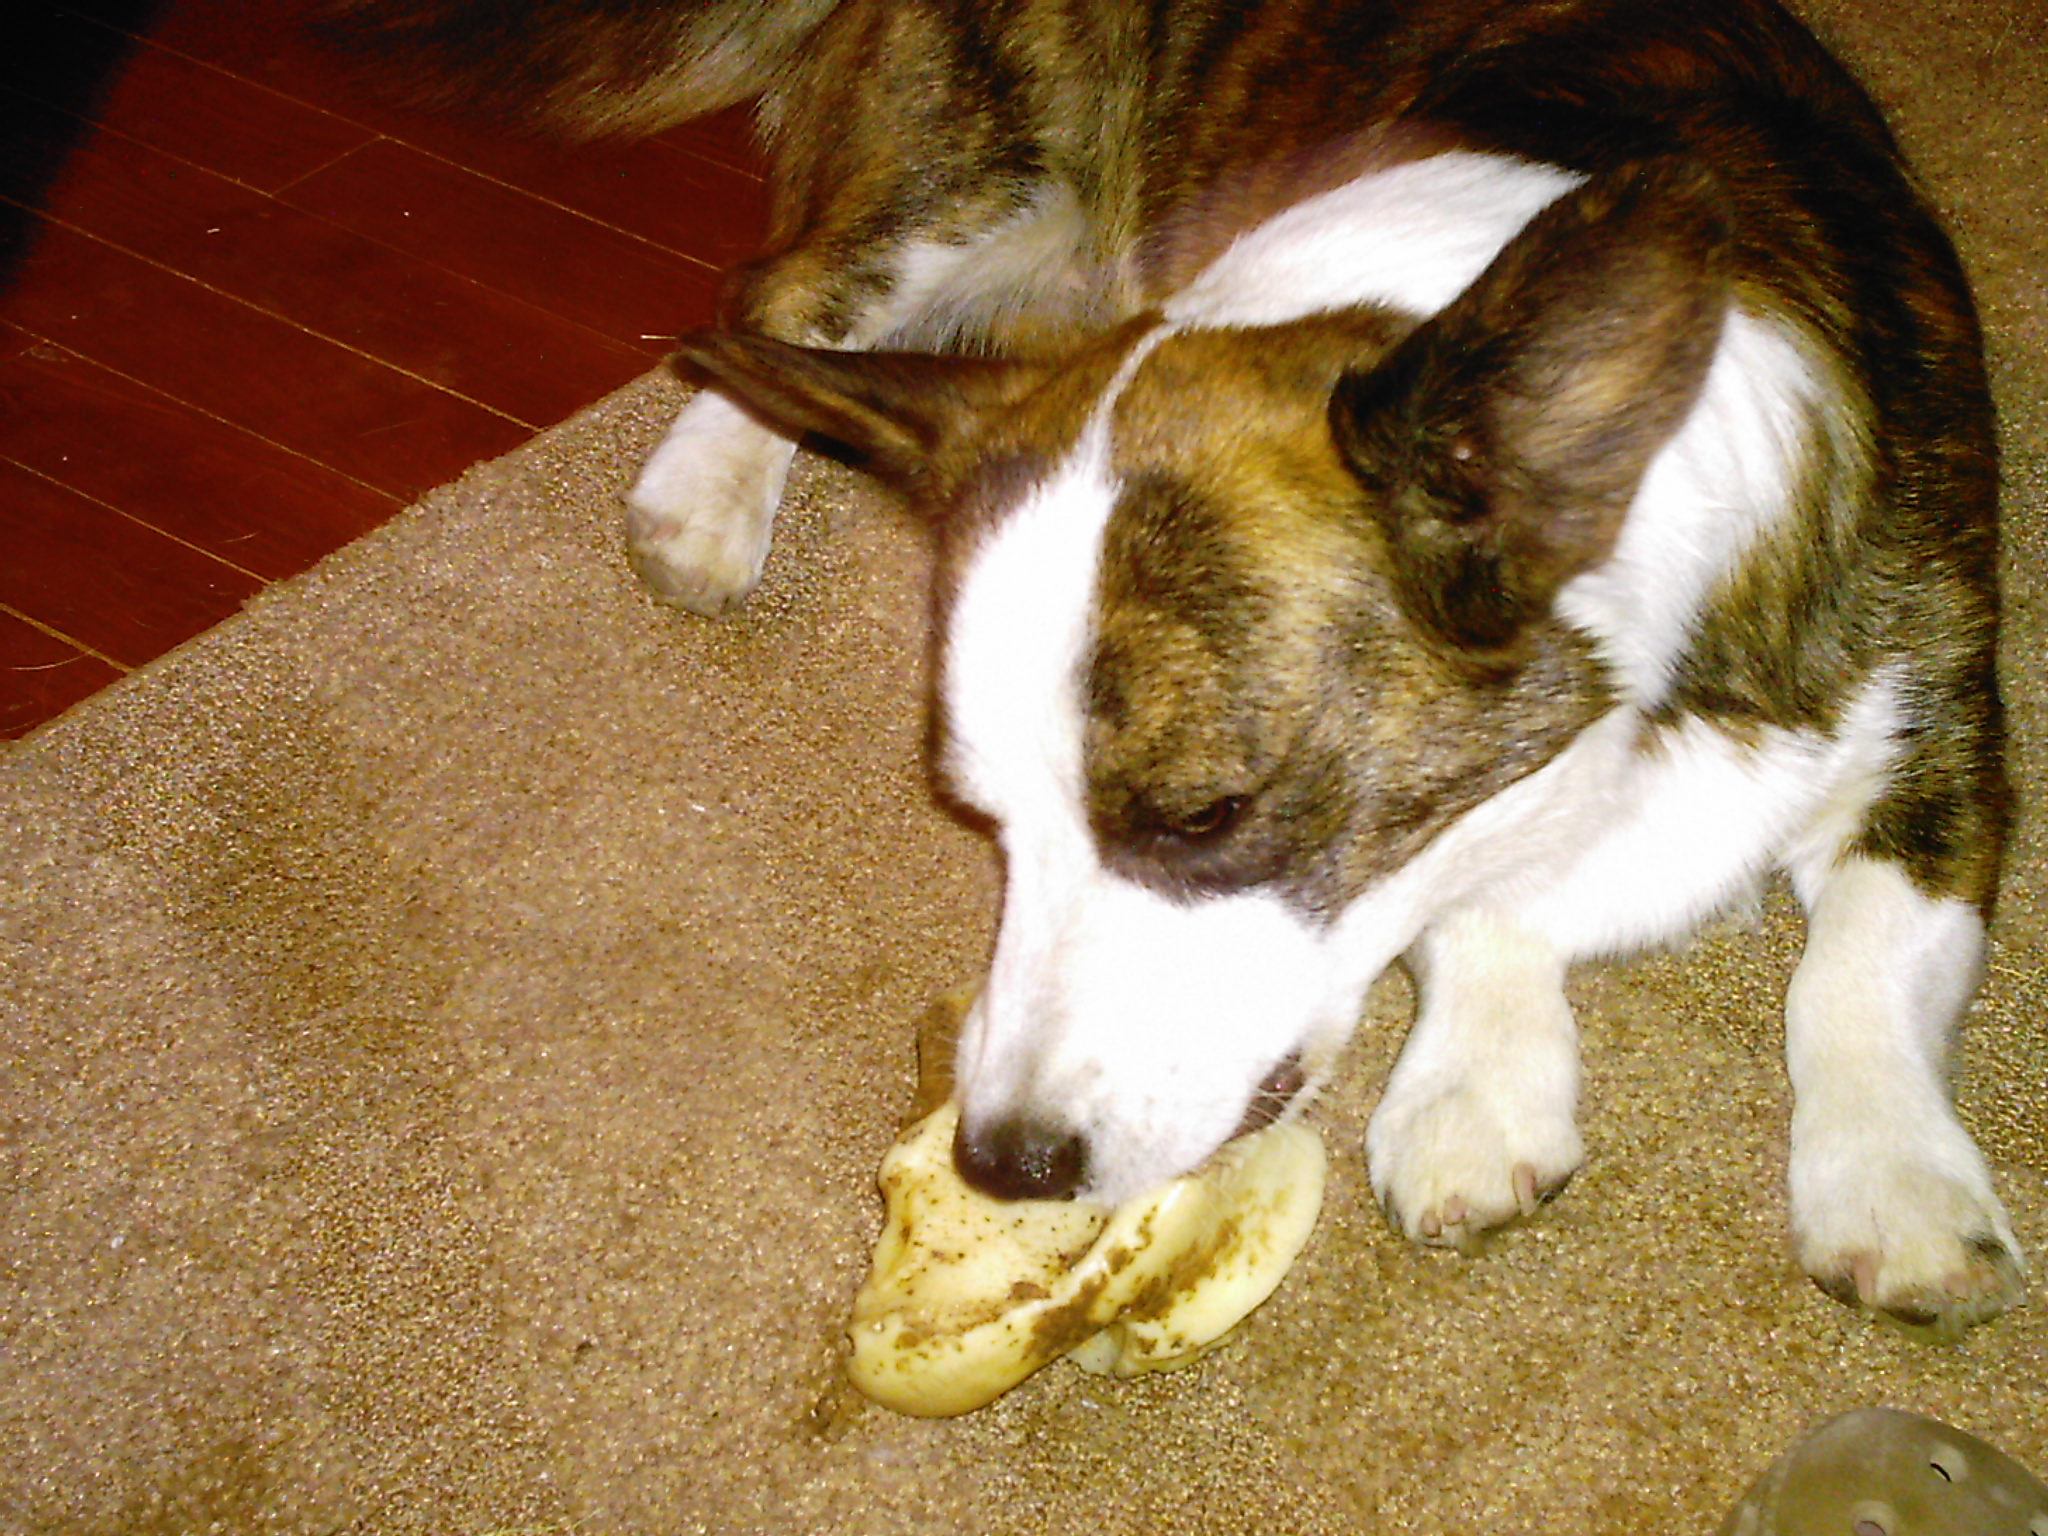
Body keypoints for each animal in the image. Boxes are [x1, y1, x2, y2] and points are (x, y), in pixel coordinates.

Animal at [327, 0, 2023, 1334]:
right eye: (981, 823)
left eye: (1204, 818)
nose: (1002, 1166)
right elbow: (1471, 912)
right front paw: (1480, 1093)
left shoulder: (1946, 718)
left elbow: (1863, 958)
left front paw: (1898, 1195)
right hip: (970, 169)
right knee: (778, 296)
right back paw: (708, 492)